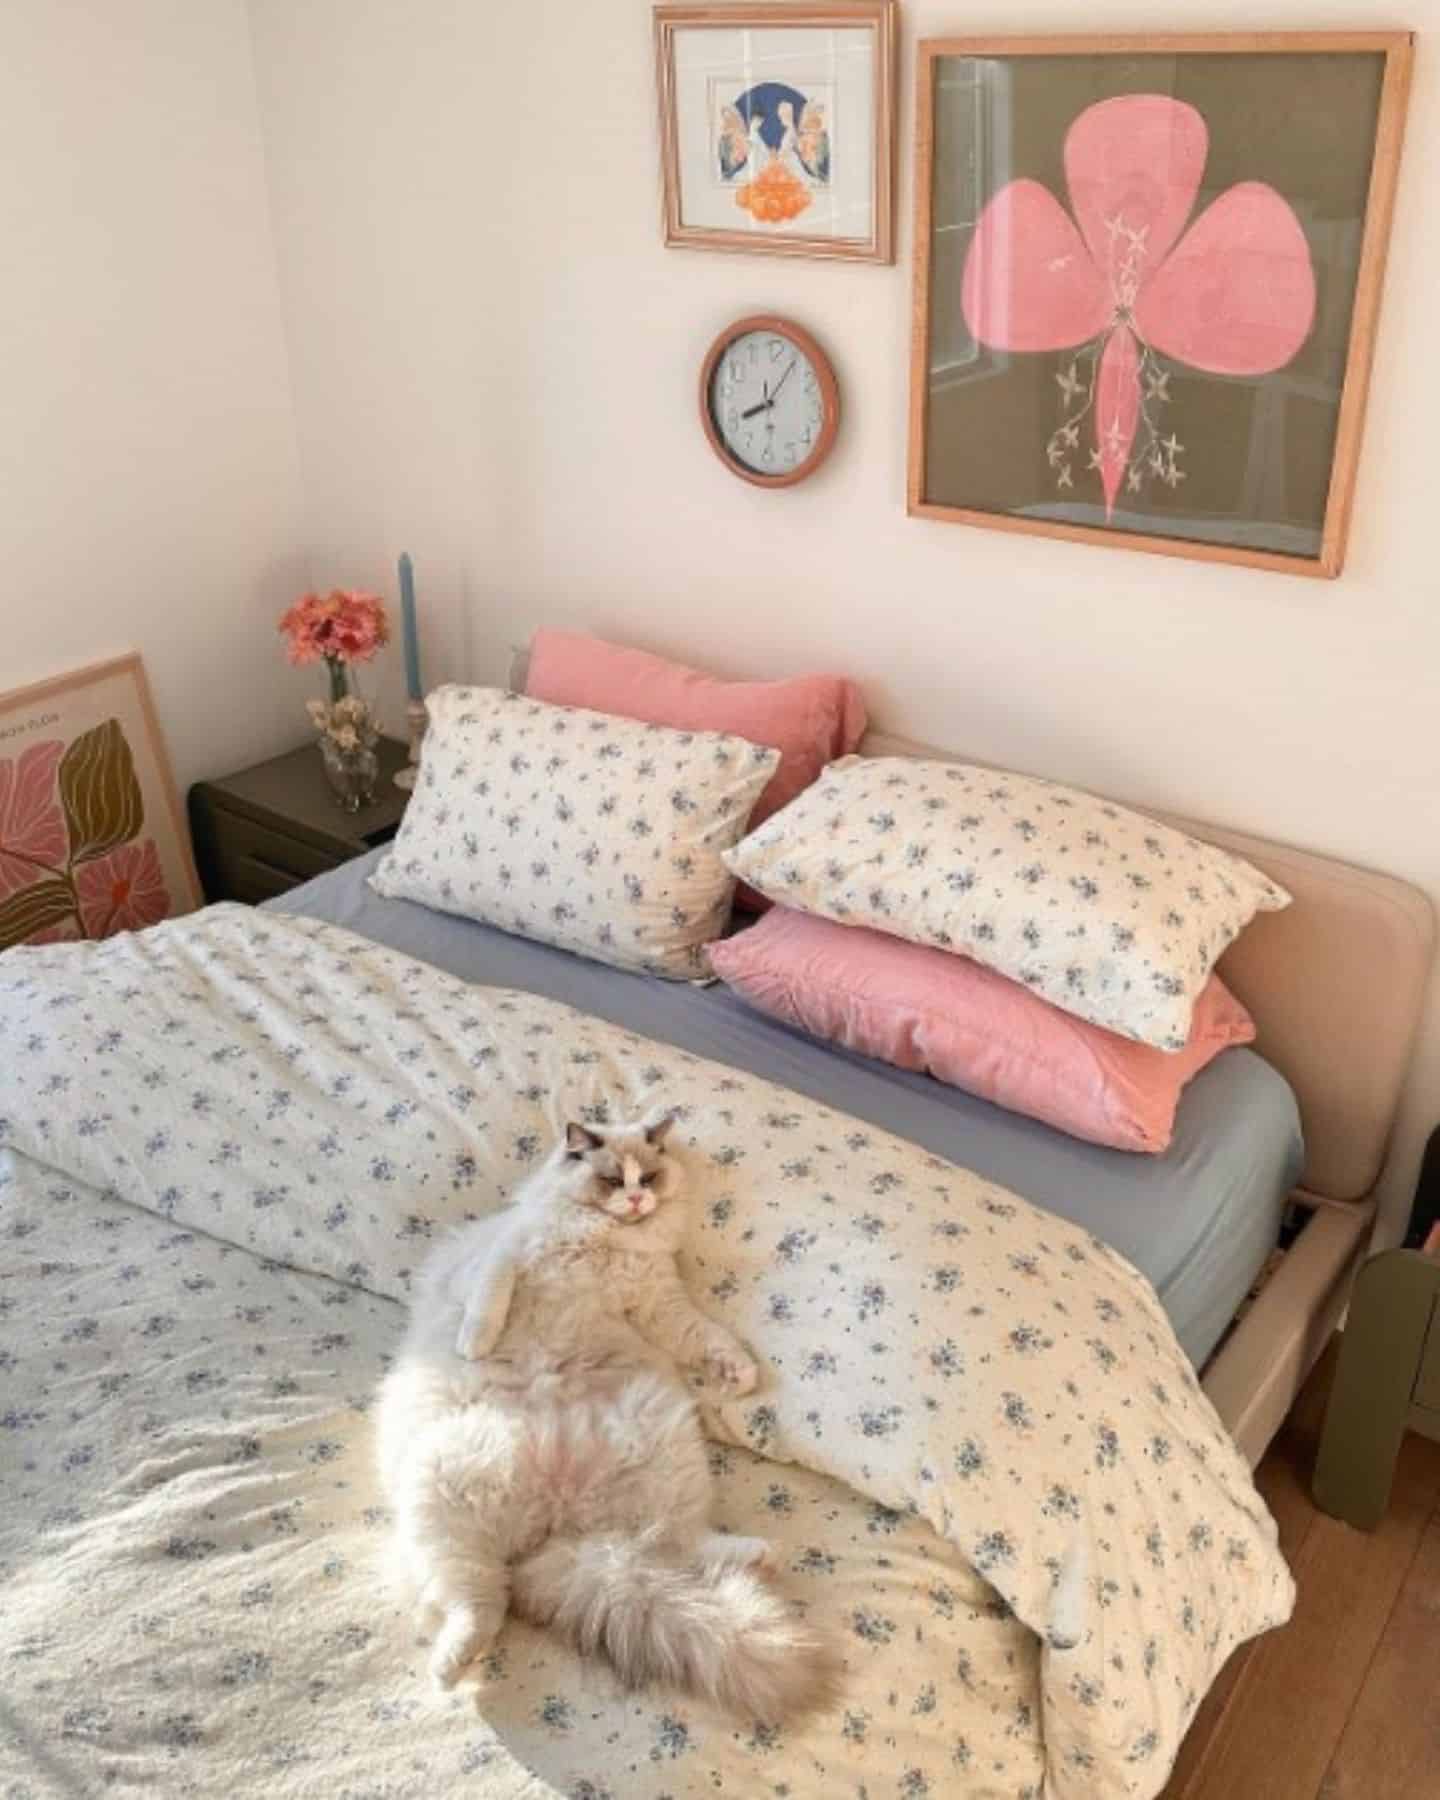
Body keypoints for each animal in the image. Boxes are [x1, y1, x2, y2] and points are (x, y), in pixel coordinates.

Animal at [376, 1108, 838, 1713]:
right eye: (614, 1180)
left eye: (650, 1177)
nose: (639, 1200)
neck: (608, 1244)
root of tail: (558, 1520)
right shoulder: (506, 1256)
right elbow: (489, 1300)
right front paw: (473, 1345)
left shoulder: (662, 1304)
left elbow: (708, 1337)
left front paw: (741, 1374)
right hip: (441, 1490)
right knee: (480, 1603)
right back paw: (451, 1670)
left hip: (662, 1456)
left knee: (678, 1544)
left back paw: (763, 1554)